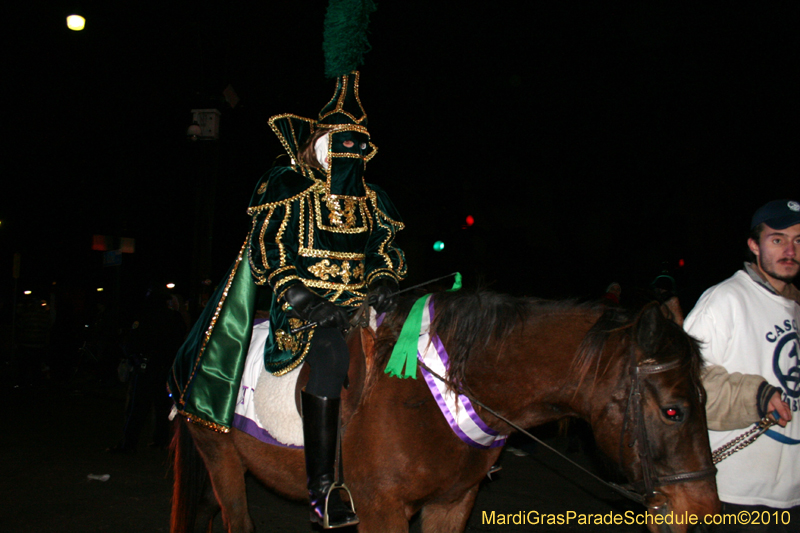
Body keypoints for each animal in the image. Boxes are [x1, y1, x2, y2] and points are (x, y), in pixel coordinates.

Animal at [169, 290, 720, 532]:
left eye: (705, 402)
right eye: (674, 411)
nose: (701, 512)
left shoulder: (452, 504)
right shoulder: (380, 509)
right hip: (220, 456)